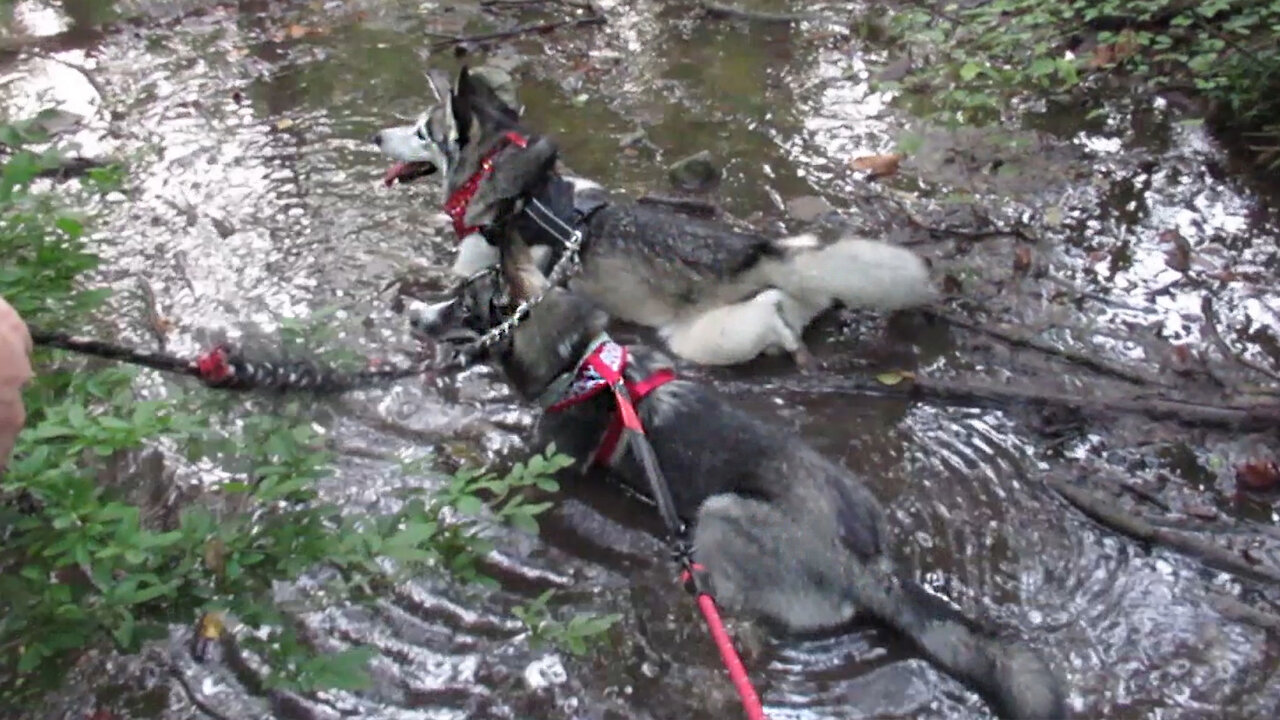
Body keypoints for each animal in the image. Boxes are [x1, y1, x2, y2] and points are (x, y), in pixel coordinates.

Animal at [373, 66, 936, 366]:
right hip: (805, 257)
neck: (510, 178)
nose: (377, 136)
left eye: (422, 131)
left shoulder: (475, 267)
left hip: (704, 338)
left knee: (769, 318)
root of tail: (766, 255)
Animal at [424, 260, 1064, 712]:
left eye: (462, 303)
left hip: (719, 512)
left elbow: (488, 465)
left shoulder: (546, 464)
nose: (414, 316)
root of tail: (868, 570)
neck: (579, 358)